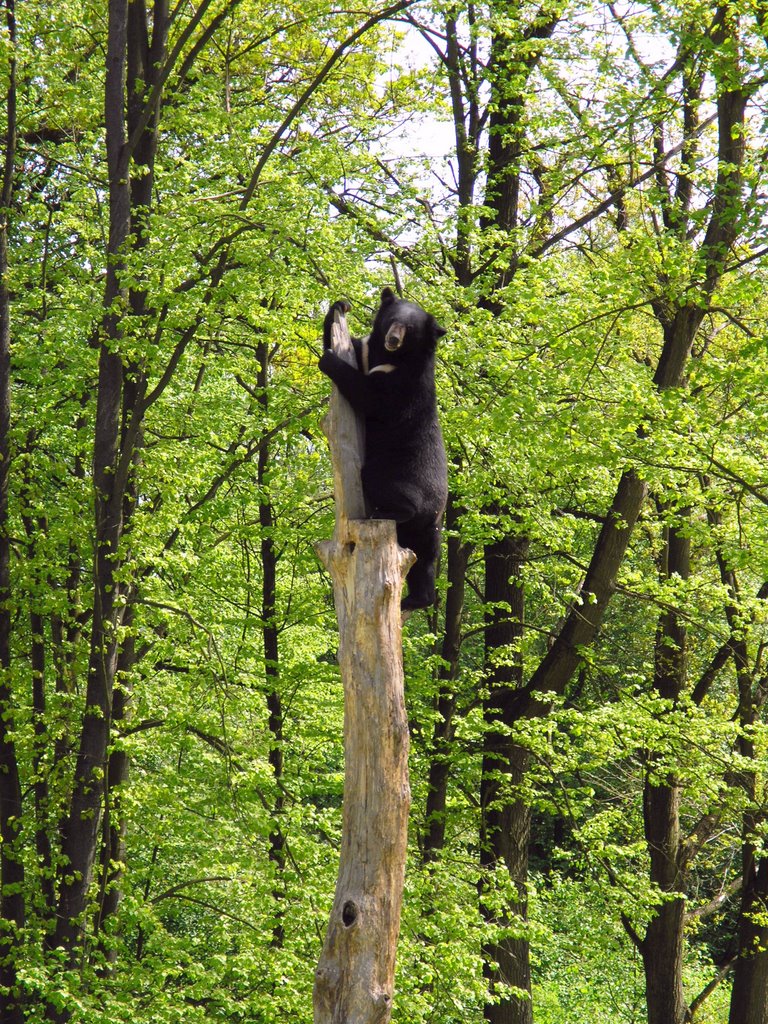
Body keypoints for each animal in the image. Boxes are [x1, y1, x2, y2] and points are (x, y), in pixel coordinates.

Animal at [319, 288, 450, 606]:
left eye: (410, 330)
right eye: (392, 321)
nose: (392, 339)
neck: (391, 357)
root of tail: (434, 509)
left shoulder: (402, 383)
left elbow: (371, 398)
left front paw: (328, 360)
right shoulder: (367, 352)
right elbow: (349, 343)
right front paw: (338, 307)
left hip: (400, 476)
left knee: (381, 484)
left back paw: (387, 512)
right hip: (428, 531)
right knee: (424, 560)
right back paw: (416, 599)